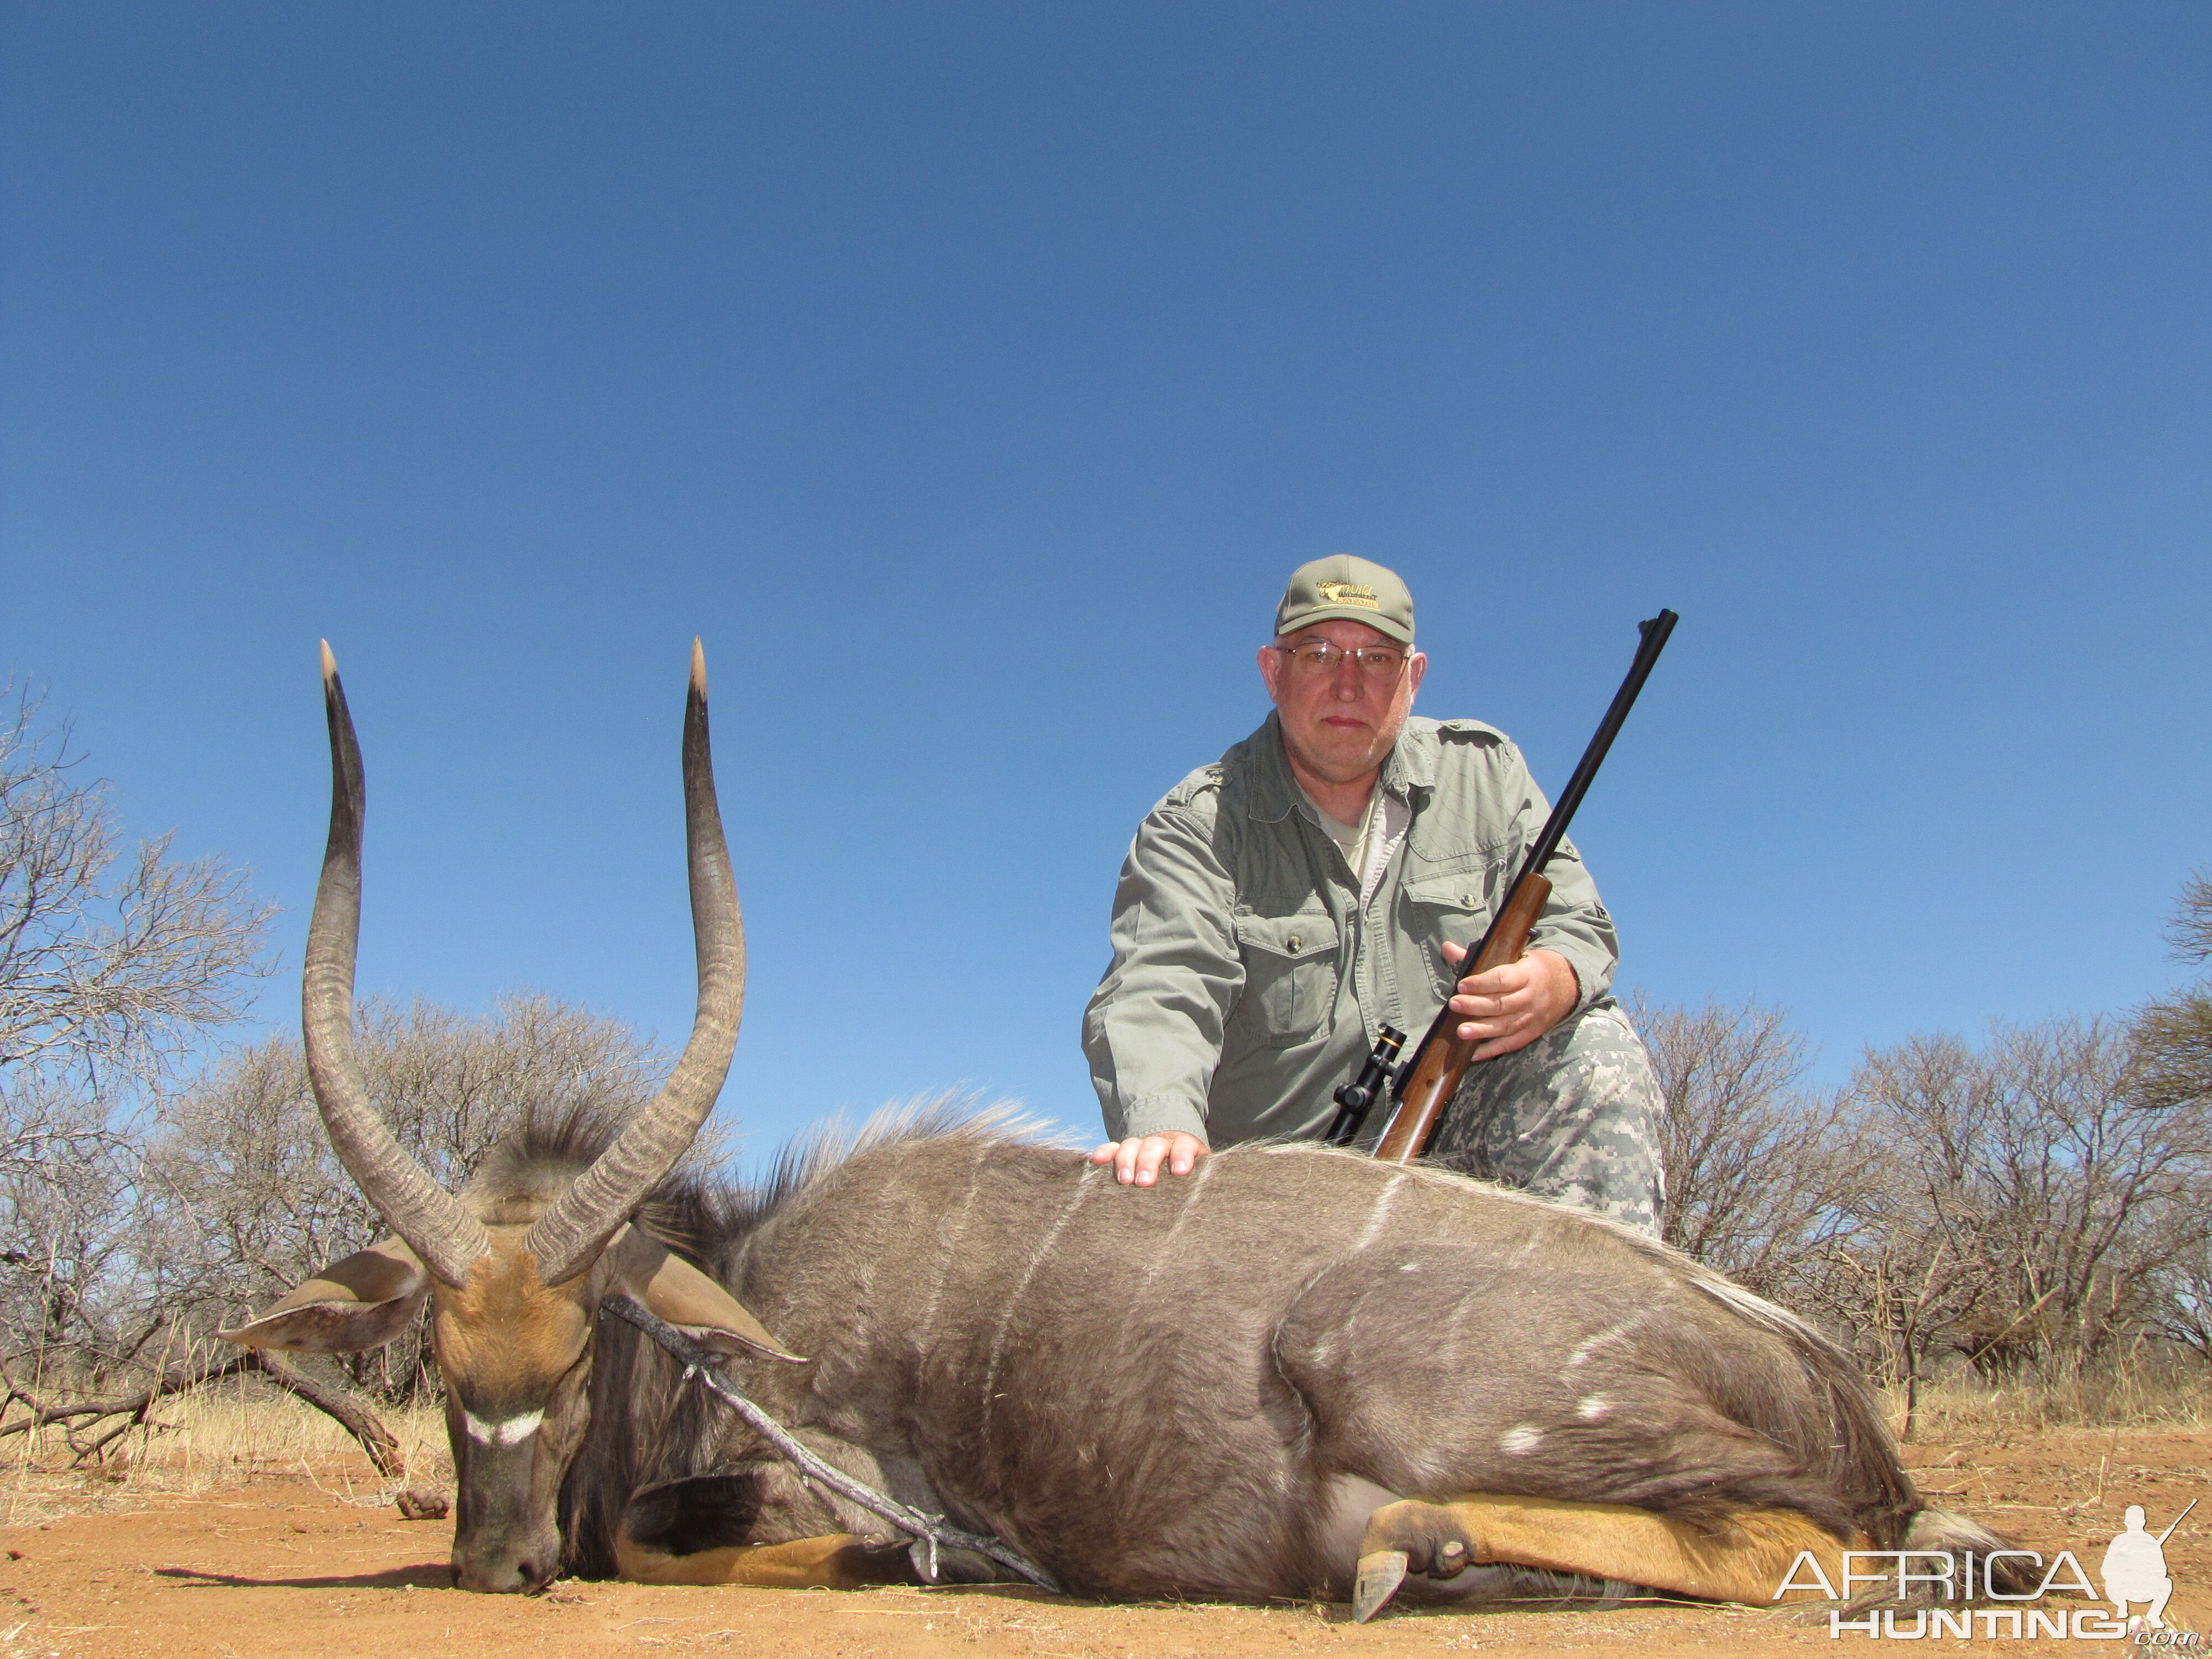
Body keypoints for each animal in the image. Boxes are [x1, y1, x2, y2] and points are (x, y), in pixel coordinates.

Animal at [225, 641, 2026, 1619]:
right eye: (439, 1359)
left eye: (583, 1343)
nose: (497, 1561)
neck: (747, 1303)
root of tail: (1822, 1380)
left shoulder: (833, 1495)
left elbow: (696, 1542)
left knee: (1788, 1545)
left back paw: (1408, 1549)